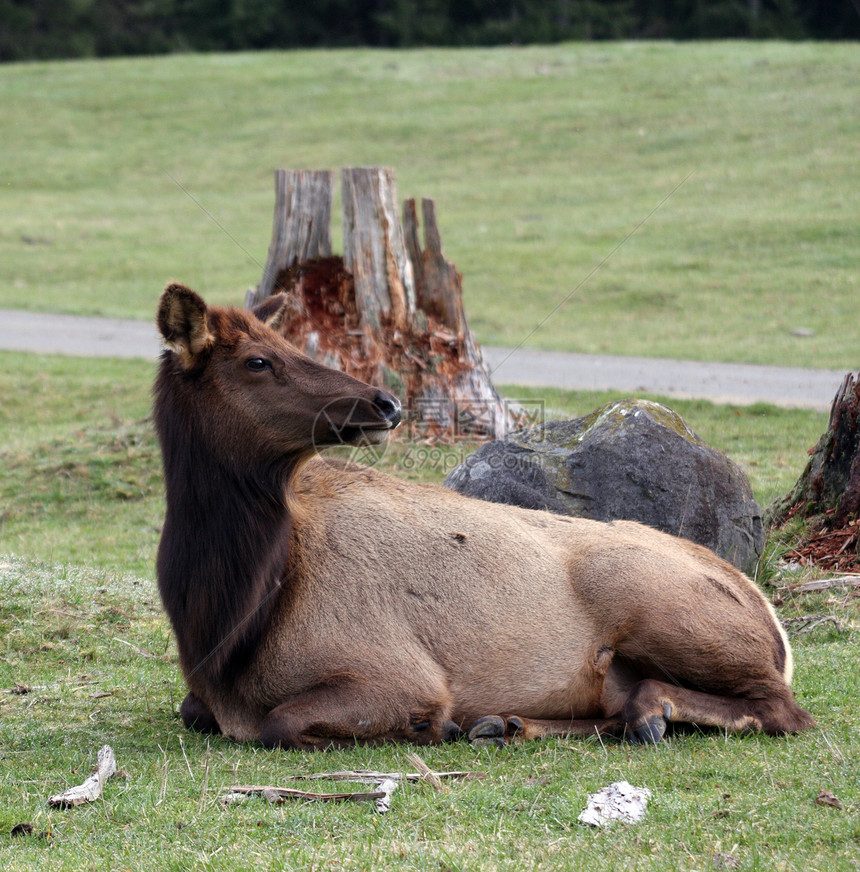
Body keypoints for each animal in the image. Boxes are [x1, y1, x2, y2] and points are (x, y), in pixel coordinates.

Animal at [151, 282, 816, 744]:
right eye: (257, 361)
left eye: (286, 345)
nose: (385, 402)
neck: (227, 620)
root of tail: (774, 625)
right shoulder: (203, 692)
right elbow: (190, 709)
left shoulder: (398, 672)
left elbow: (280, 723)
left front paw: (428, 726)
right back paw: (511, 724)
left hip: (658, 604)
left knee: (786, 710)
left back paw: (651, 709)